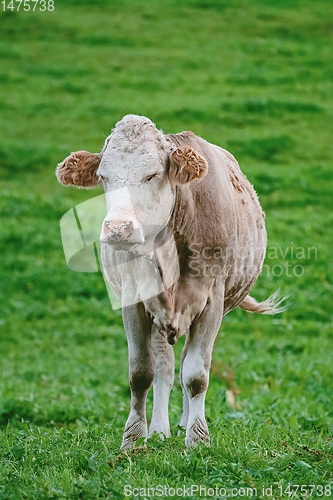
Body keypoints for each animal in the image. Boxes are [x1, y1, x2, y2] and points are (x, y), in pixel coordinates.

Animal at [55, 114, 286, 450]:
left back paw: (184, 422)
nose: (119, 228)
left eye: (152, 175)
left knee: (188, 364)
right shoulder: (135, 301)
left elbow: (196, 375)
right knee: (165, 369)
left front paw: (197, 438)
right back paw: (161, 429)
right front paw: (134, 440)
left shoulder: (211, 302)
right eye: (103, 177)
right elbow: (141, 373)